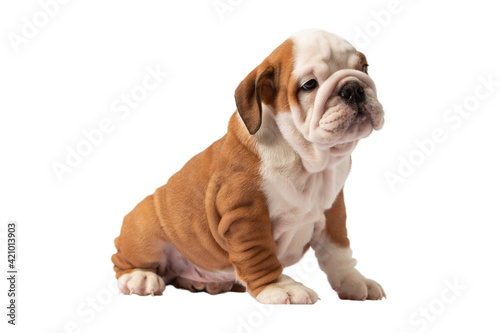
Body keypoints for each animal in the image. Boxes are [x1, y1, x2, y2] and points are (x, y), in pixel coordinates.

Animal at [111, 29, 386, 304]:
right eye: (309, 85)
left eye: (364, 67)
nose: (353, 88)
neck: (308, 162)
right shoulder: (246, 214)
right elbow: (260, 256)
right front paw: (279, 287)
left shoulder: (333, 210)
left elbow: (338, 250)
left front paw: (354, 280)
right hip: (145, 226)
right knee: (124, 259)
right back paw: (140, 276)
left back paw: (205, 283)